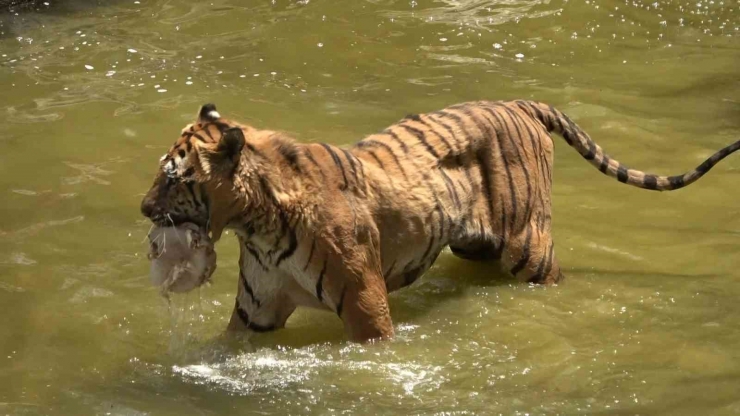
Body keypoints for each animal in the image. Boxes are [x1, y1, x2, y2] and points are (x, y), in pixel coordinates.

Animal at [140, 100, 740, 342]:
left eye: (173, 177)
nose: (143, 209)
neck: (257, 222)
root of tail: (523, 104)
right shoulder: (255, 310)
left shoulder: (366, 307)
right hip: (477, 245)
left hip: (530, 249)